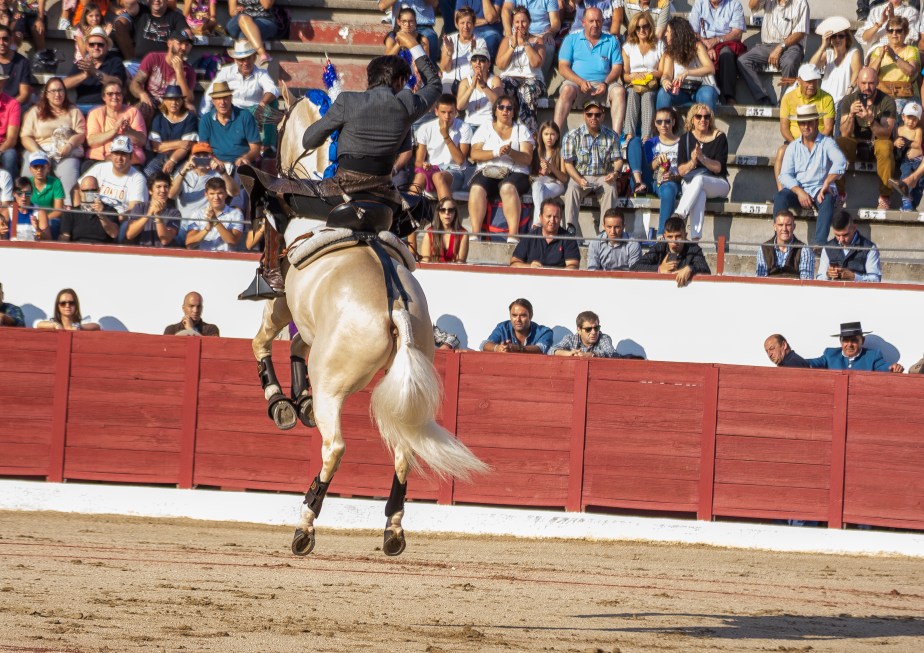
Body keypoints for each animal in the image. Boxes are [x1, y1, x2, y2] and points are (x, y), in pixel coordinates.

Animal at [249, 85, 487, 557]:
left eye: (279, 124)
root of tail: (395, 306)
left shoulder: (284, 303)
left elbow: (262, 341)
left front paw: (281, 402)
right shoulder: (309, 321)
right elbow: (295, 345)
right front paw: (298, 399)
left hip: (335, 383)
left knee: (335, 447)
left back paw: (305, 527)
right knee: (404, 451)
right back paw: (392, 529)